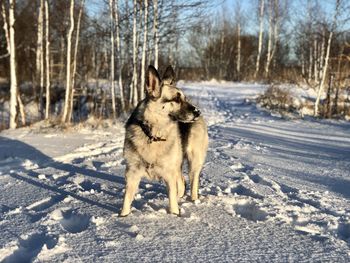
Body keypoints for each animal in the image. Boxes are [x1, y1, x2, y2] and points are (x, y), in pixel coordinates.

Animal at [120, 64, 208, 217]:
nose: (198, 112)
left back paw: (194, 200)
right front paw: (123, 217)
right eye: (177, 99)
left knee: (193, 182)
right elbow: (126, 201)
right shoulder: (132, 174)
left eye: (184, 98)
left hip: (193, 162)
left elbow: (172, 201)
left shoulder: (169, 174)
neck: (152, 135)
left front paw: (174, 215)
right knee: (182, 182)